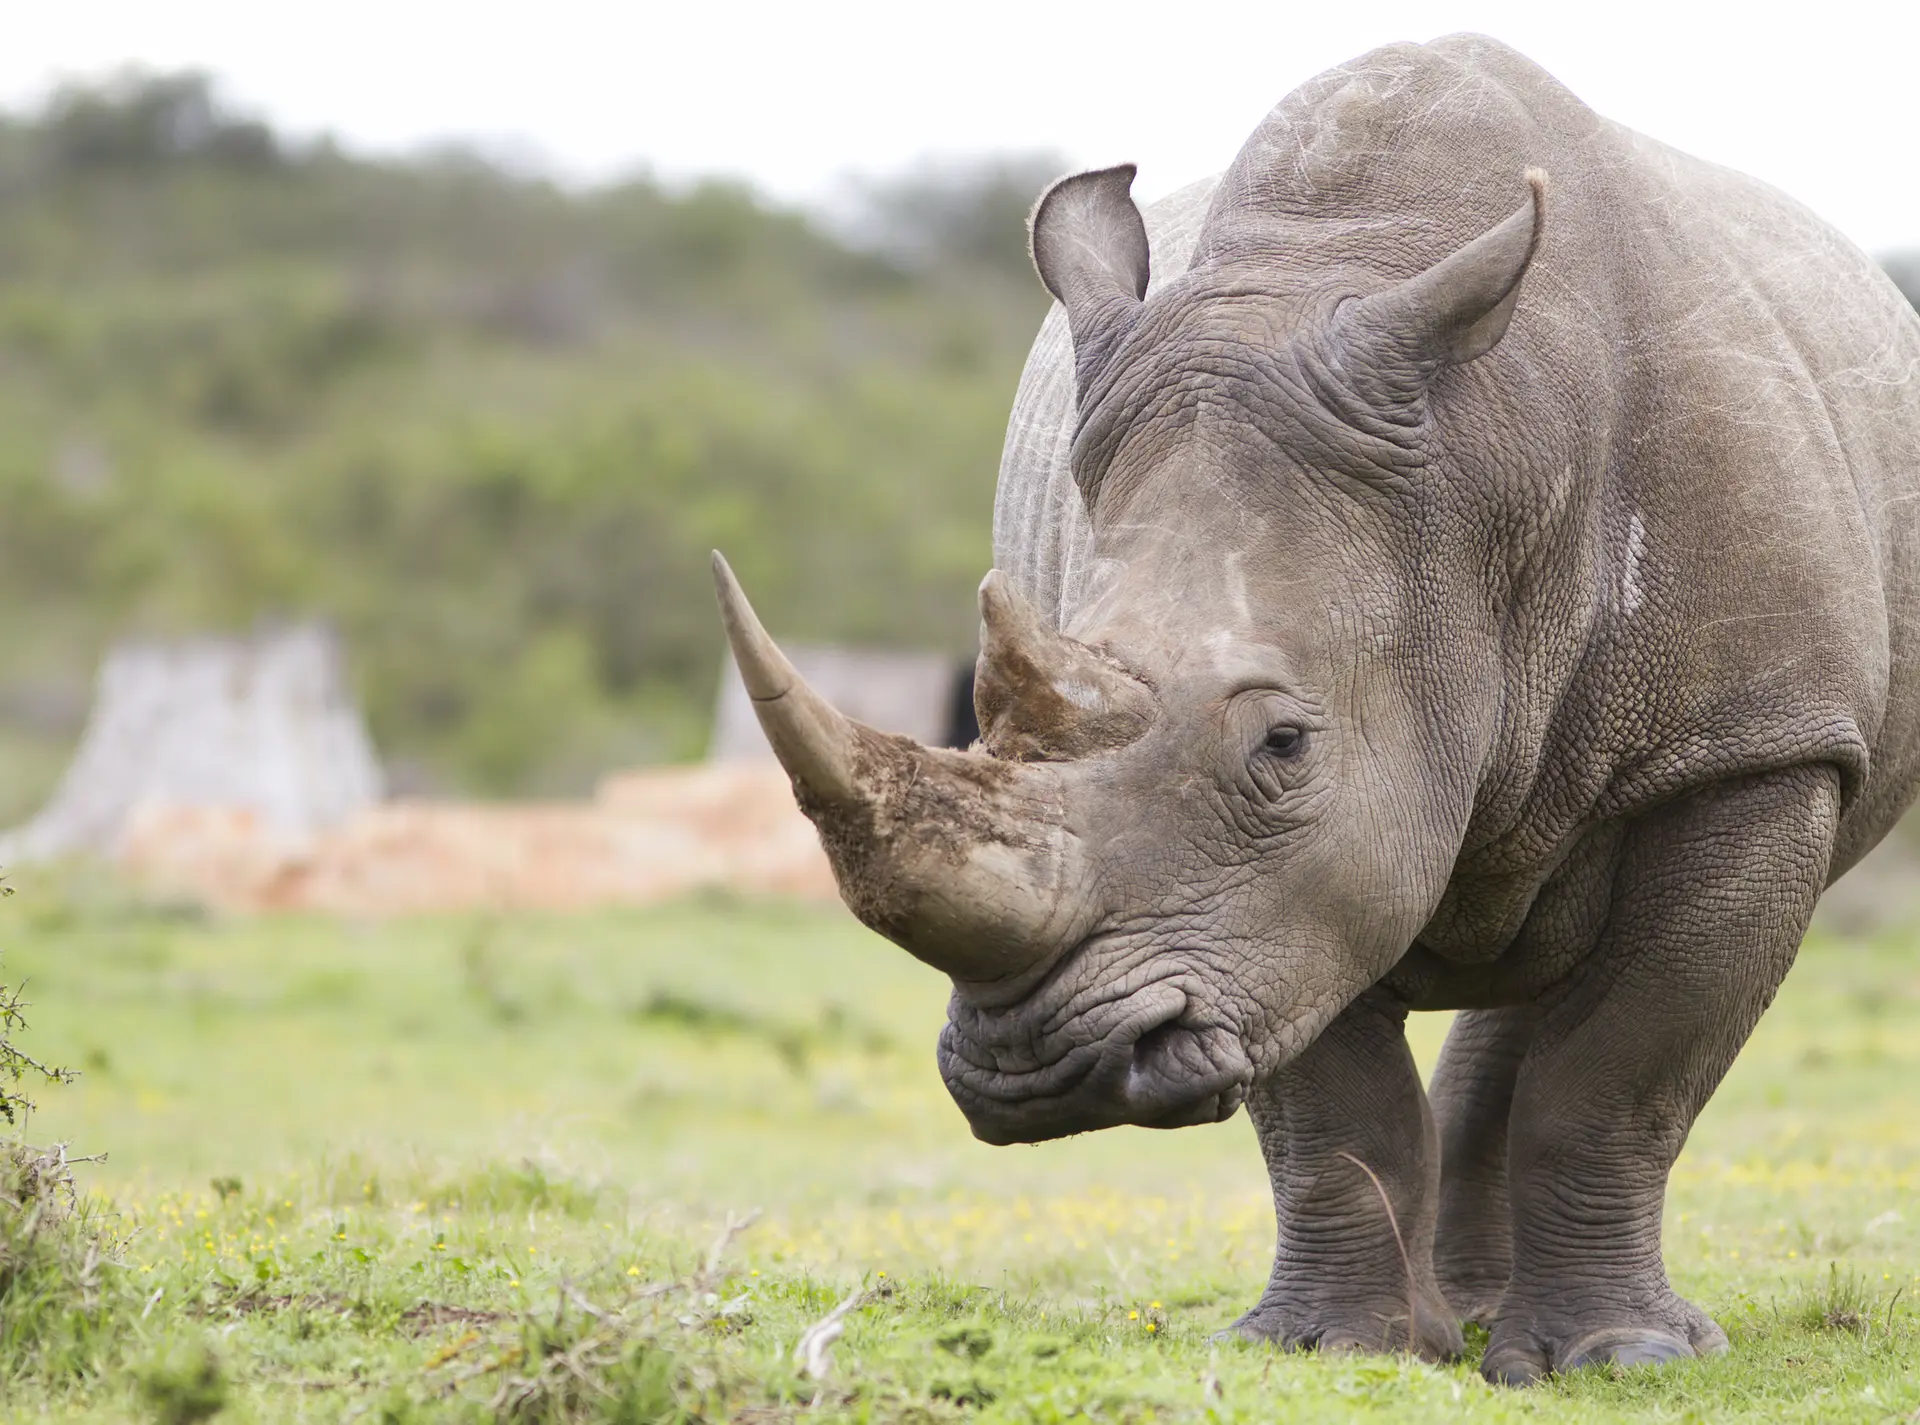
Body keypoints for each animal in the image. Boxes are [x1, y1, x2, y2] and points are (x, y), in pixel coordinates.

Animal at [712, 34, 1920, 1383]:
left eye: (1284, 745)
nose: (1040, 1070)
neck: (1484, 481)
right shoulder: (1257, 909)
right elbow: (1329, 1100)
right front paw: (1331, 1351)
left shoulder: (1754, 744)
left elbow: (1620, 1073)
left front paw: (1627, 1361)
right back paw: (1467, 1320)